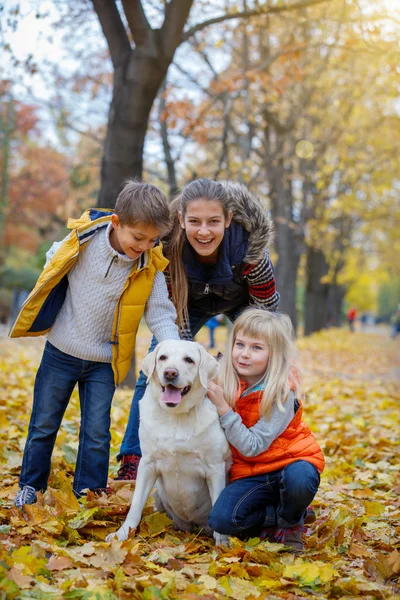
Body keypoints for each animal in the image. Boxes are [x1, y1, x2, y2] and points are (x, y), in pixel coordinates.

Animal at [107, 342, 231, 544]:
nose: (170, 373)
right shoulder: (147, 464)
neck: (177, 415)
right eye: (162, 357)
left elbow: (218, 503)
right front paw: (123, 533)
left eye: (189, 359)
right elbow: (136, 504)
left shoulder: (215, 467)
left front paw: (223, 543)